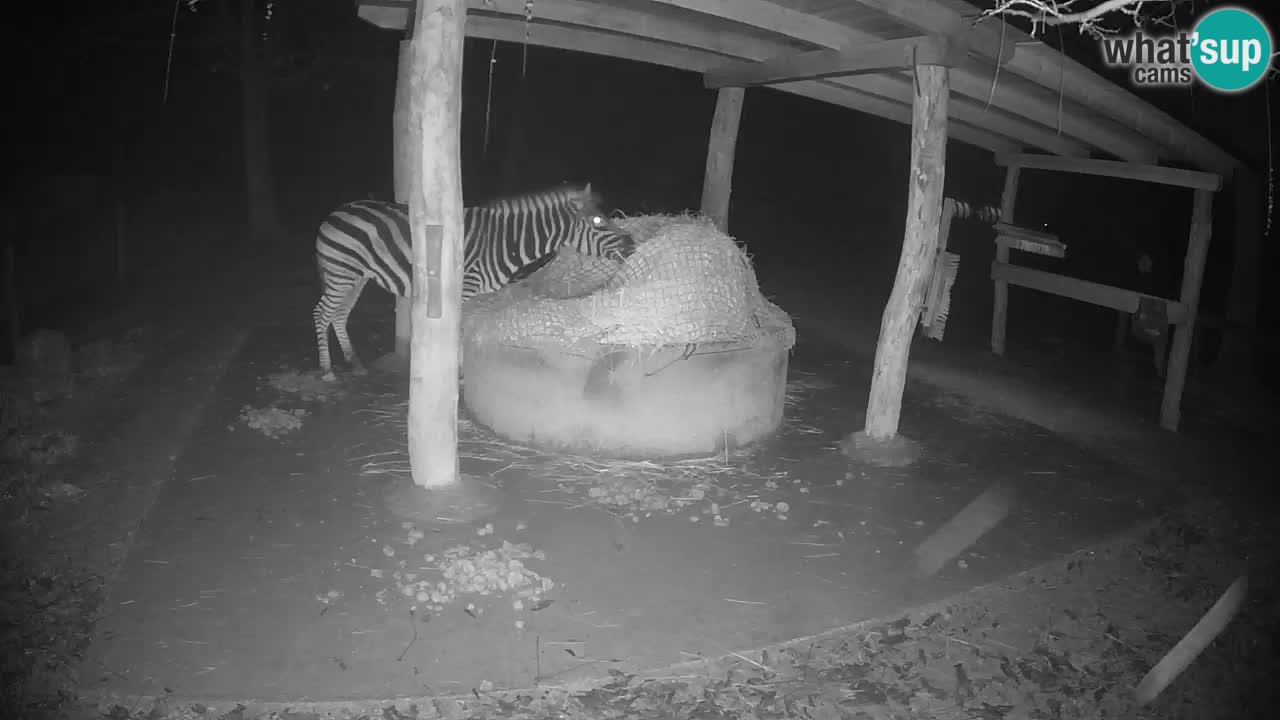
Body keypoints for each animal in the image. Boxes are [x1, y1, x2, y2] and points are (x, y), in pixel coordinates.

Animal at [312, 183, 636, 382]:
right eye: (597, 222)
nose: (632, 245)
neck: (505, 242)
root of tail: (337, 211)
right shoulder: (464, 289)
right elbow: (459, 331)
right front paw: (458, 375)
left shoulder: (477, 294)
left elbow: (469, 330)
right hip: (342, 273)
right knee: (322, 312)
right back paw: (327, 370)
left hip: (357, 277)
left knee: (339, 314)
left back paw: (354, 363)